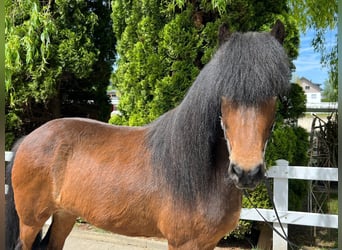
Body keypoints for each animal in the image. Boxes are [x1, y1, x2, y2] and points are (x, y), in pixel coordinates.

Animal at [5, 20, 290, 249]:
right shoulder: (182, 243)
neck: (199, 175)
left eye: (274, 94)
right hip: (30, 220)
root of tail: (29, 139)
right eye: (224, 92)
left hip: (64, 214)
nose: (246, 171)